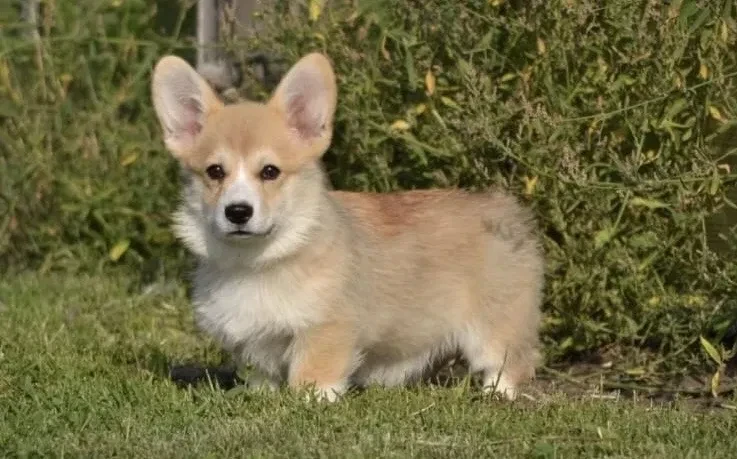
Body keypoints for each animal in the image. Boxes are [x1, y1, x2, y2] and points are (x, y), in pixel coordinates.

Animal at [150, 52, 544, 400]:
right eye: (215, 171)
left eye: (270, 172)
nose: (237, 212)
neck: (258, 261)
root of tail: (502, 208)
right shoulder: (251, 342)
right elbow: (261, 374)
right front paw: (261, 396)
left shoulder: (326, 327)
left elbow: (312, 375)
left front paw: (312, 401)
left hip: (494, 322)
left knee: (511, 360)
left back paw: (497, 394)